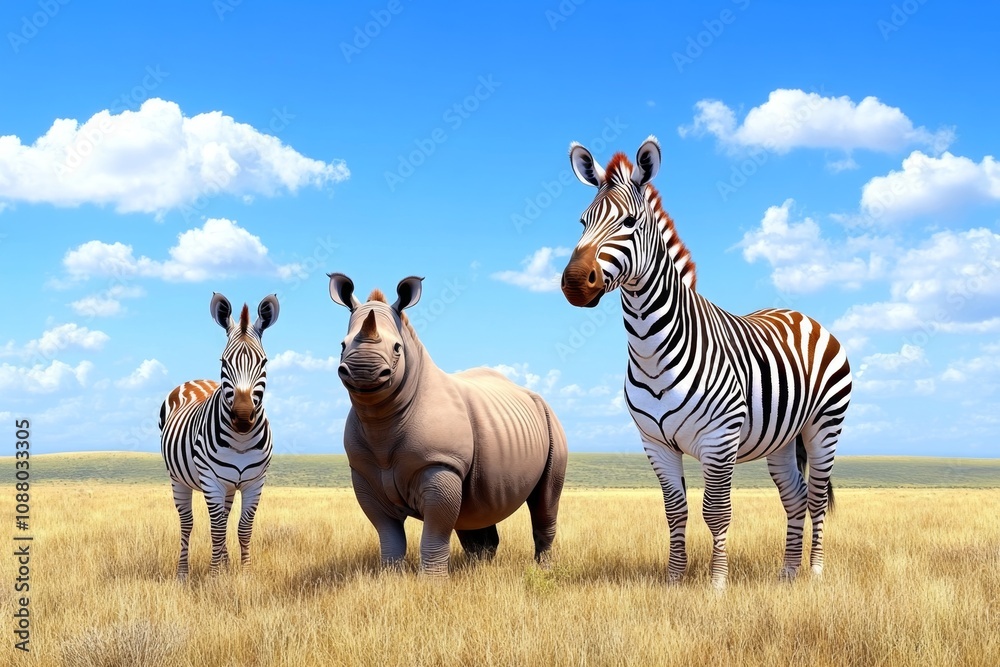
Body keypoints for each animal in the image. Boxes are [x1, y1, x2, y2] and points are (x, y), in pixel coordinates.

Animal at [159, 293, 279, 579]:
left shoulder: (256, 481)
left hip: (229, 485)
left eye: (264, 362)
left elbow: (243, 528)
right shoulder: (211, 480)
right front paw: (215, 577)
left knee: (223, 517)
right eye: (223, 362)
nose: (243, 417)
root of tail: (195, 380)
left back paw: (225, 564)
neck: (241, 441)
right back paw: (183, 573)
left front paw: (244, 573)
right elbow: (216, 529)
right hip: (178, 478)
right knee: (187, 523)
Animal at [328, 273, 568, 576]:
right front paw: (389, 576)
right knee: (475, 510)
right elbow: (388, 532)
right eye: (342, 345)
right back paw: (477, 570)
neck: (380, 417)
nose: (363, 370)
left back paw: (543, 570)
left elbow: (436, 529)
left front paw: (432, 581)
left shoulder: (440, 463)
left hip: (551, 423)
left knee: (545, 501)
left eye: (397, 348)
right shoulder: (363, 472)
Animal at [560, 137, 852, 589]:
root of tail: (801, 315)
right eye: (582, 221)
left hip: (825, 425)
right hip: (783, 440)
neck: (651, 348)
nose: (574, 282)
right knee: (796, 497)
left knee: (817, 499)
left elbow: (716, 512)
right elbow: (674, 511)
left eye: (630, 221)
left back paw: (815, 573)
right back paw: (787, 574)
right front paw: (674, 580)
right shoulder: (655, 442)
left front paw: (716, 584)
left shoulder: (719, 438)